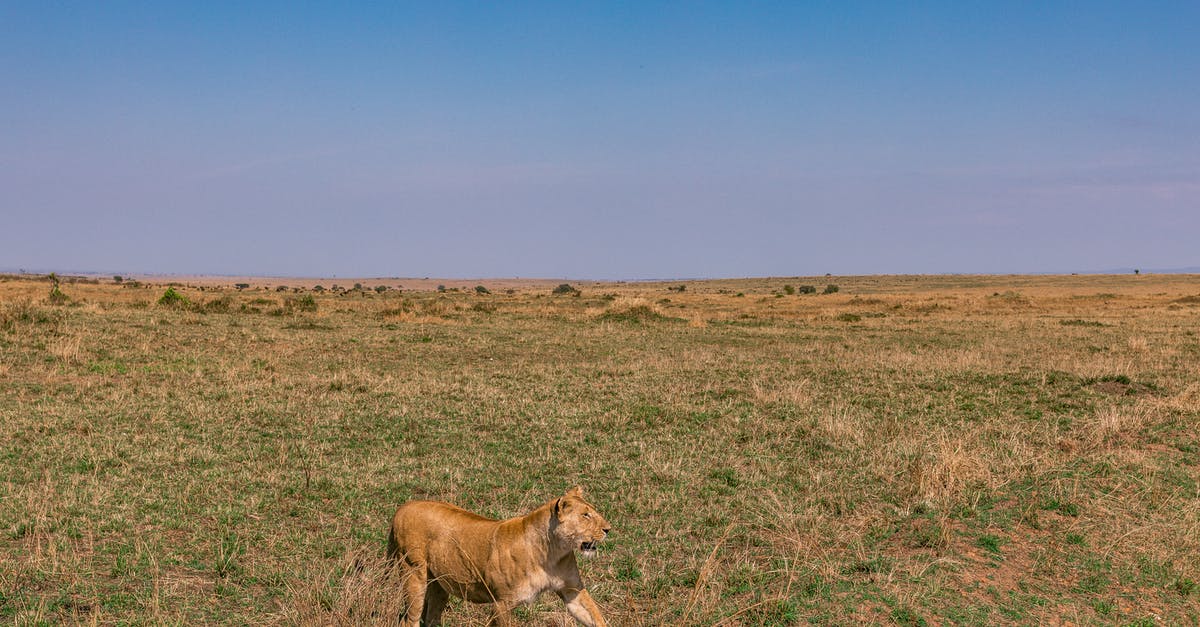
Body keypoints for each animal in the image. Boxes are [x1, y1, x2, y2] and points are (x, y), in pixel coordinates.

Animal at [387, 486, 611, 626]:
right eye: (585, 515)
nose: (608, 529)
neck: (552, 554)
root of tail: (403, 507)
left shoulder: (572, 590)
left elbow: (594, 615)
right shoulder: (502, 602)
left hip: (439, 584)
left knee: (432, 618)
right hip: (413, 572)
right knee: (409, 620)